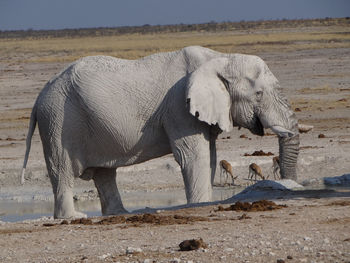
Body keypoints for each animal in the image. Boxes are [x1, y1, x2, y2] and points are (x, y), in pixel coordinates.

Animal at [20, 46, 300, 220]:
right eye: (259, 94)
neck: (221, 58)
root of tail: (39, 97)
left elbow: (209, 157)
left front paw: (204, 204)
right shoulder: (178, 106)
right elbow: (193, 157)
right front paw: (197, 205)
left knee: (104, 173)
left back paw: (120, 214)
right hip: (58, 122)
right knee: (63, 170)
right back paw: (73, 217)